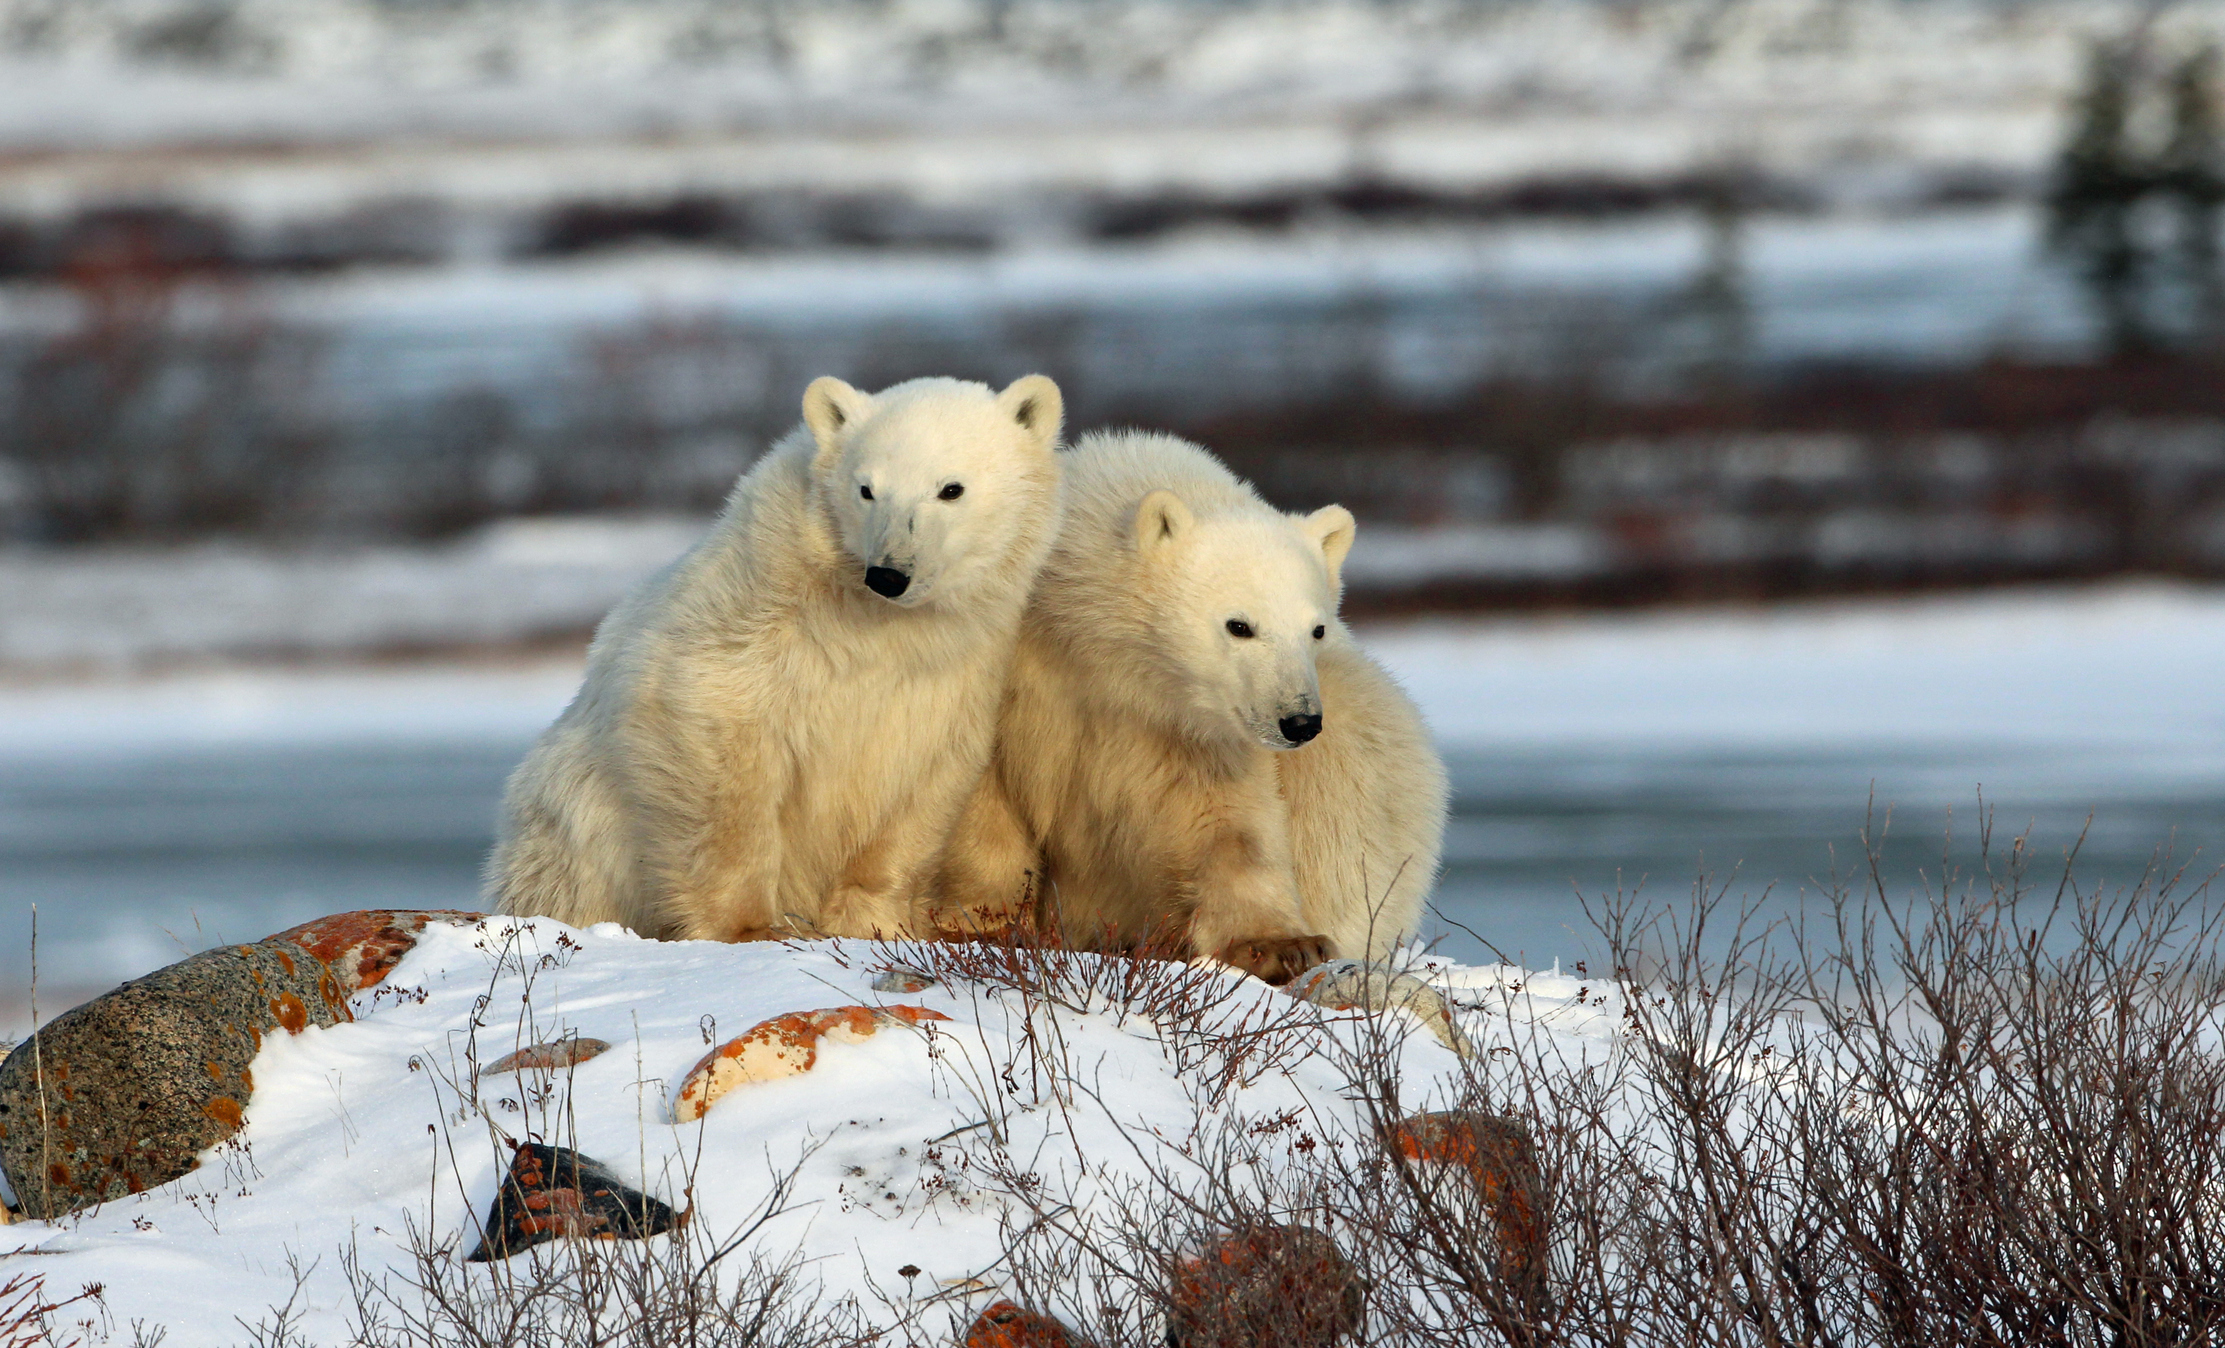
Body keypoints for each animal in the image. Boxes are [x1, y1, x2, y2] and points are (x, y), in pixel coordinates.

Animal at [486, 373, 1065, 943]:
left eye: (951, 489)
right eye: (866, 489)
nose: (888, 574)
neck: (873, 624)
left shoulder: (953, 671)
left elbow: (922, 782)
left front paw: (878, 922)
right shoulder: (750, 624)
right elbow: (720, 754)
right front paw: (752, 926)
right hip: (575, 819)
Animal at [927, 429, 1448, 981]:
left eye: (1317, 629)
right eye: (1239, 625)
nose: (1300, 721)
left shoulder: (1196, 732)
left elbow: (1229, 824)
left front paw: (1281, 946)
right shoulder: (1015, 669)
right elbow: (983, 796)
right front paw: (983, 924)